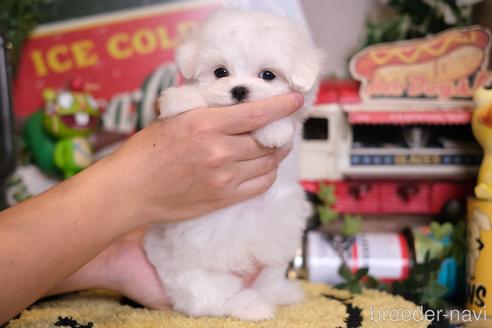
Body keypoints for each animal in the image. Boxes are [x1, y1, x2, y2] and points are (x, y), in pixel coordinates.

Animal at [143, 8, 322, 320]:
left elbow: (286, 119)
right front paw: (178, 100)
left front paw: (274, 129)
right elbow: (199, 99)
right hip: (192, 270)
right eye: (220, 72)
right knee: (210, 299)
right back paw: (250, 307)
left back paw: (280, 294)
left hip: (280, 234)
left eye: (268, 75)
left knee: (270, 276)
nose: (239, 90)